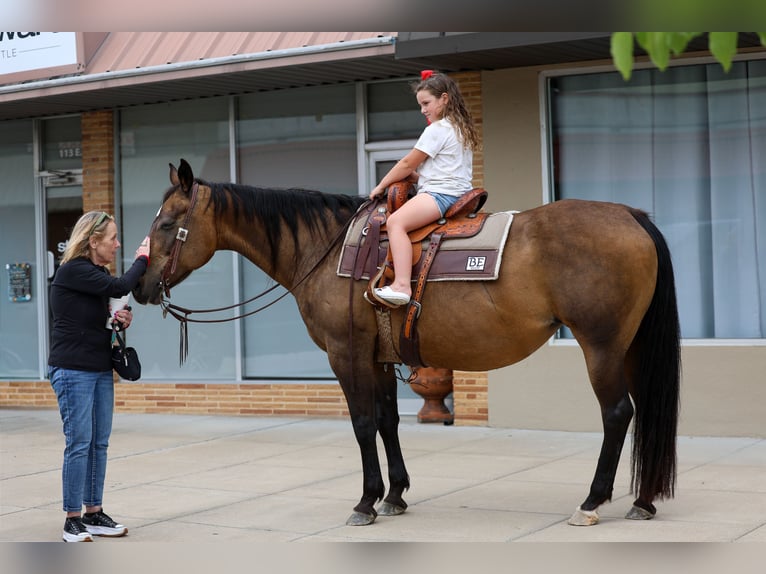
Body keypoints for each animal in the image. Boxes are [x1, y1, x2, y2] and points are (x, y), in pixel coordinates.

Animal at [132, 158, 681, 527]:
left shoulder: (346, 355)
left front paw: (365, 501)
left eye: (167, 223)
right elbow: (388, 421)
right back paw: (642, 500)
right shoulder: (380, 356)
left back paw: (592, 502)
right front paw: (395, 495)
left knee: (618, 414)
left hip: (601, 347)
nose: (139, 286)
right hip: (630, 347)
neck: (327, 248)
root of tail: (631, 216)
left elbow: (362, 423)